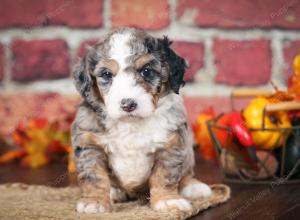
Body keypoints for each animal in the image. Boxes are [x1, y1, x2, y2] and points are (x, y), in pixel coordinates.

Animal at [71, 27, 211, 213]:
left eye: (146, 71)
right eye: (106, 74)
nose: (128, 104)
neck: (131, 124)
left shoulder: (170, 143)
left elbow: (164, 175)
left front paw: (167, 201)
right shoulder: (89, 144)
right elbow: (93, 176)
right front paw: (94, 202)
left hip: (188, 149)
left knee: (187, 172)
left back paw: (193, 187)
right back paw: (115, 192)